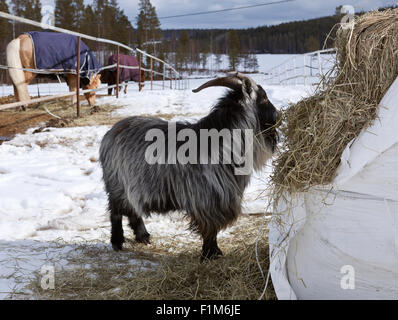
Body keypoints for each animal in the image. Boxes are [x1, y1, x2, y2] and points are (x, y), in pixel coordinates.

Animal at [99, 74, 278, 262]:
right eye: (264, 97)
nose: (278, 115)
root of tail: (110, 133)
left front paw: (213, 253)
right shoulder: (207, 200)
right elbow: (210, 229)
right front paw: (210, 255)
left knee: (132, 210)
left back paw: (143, 236)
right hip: (117, 184)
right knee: (116, 212)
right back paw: (117, 241)